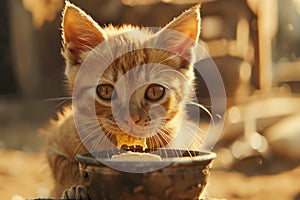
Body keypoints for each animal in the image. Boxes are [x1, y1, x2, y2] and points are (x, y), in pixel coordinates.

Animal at [46, 1, 202, 198]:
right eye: (105, 91)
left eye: (155, 91)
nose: (131, 119)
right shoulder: (54, 143)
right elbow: (67, 166)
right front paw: (75, 188)